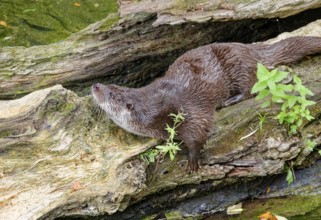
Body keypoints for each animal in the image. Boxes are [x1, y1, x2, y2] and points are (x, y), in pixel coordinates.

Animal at [90, 36, 320, 172]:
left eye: (111, 94)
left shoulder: (184, 110)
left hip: (238, 65)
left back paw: (230, 100)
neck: (153, 108)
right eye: (111, 85)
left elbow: (197, 132)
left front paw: (193, 161)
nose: (95, 85)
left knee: (251, 86)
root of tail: (251, 50)